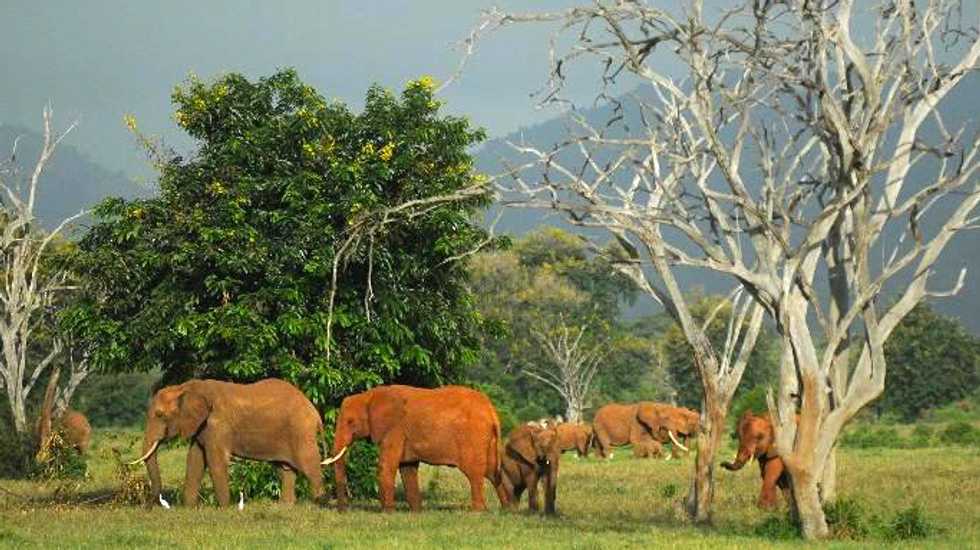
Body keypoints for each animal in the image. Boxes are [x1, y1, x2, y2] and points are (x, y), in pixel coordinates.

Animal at [129, 378, 325, 507]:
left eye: (160, 415)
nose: (148, 506)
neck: (185, 387)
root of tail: (314, 411)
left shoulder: (218, 423)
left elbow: (215, 461)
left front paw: (224, 509)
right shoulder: (201, 426)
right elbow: (194, 461)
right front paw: (189, 509)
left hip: (301, 431)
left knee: (309, 465)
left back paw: (318, 504)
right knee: (285, 469)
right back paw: (286, 506)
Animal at [323, 384, 507, 512]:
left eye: (350, 422)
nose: (343, 511)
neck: (369, 395)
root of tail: (491, 410)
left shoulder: (394, 429)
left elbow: (386, 465)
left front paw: (387, 513)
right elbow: (408, 469)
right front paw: (416, 513)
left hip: (473, 438)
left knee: (475, 473)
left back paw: (477, 512)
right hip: (487, 439)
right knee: (493, 472)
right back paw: (508, 509)